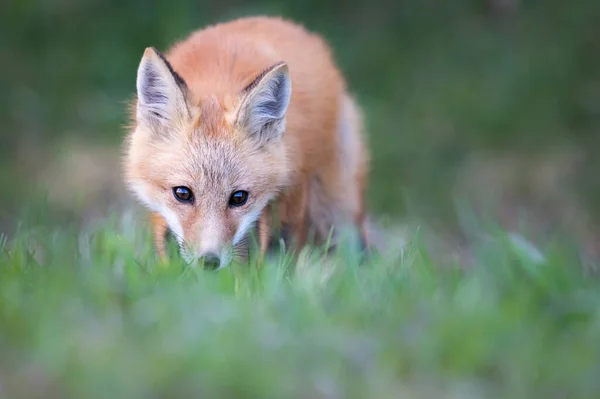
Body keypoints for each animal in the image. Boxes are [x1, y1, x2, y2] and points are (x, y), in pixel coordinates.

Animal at [123, 17, 370, 270]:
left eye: (239, 197)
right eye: (182, 193)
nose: (209, 262)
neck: (217, 81)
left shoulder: (293, 185)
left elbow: (281, 250)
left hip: (337, 207)